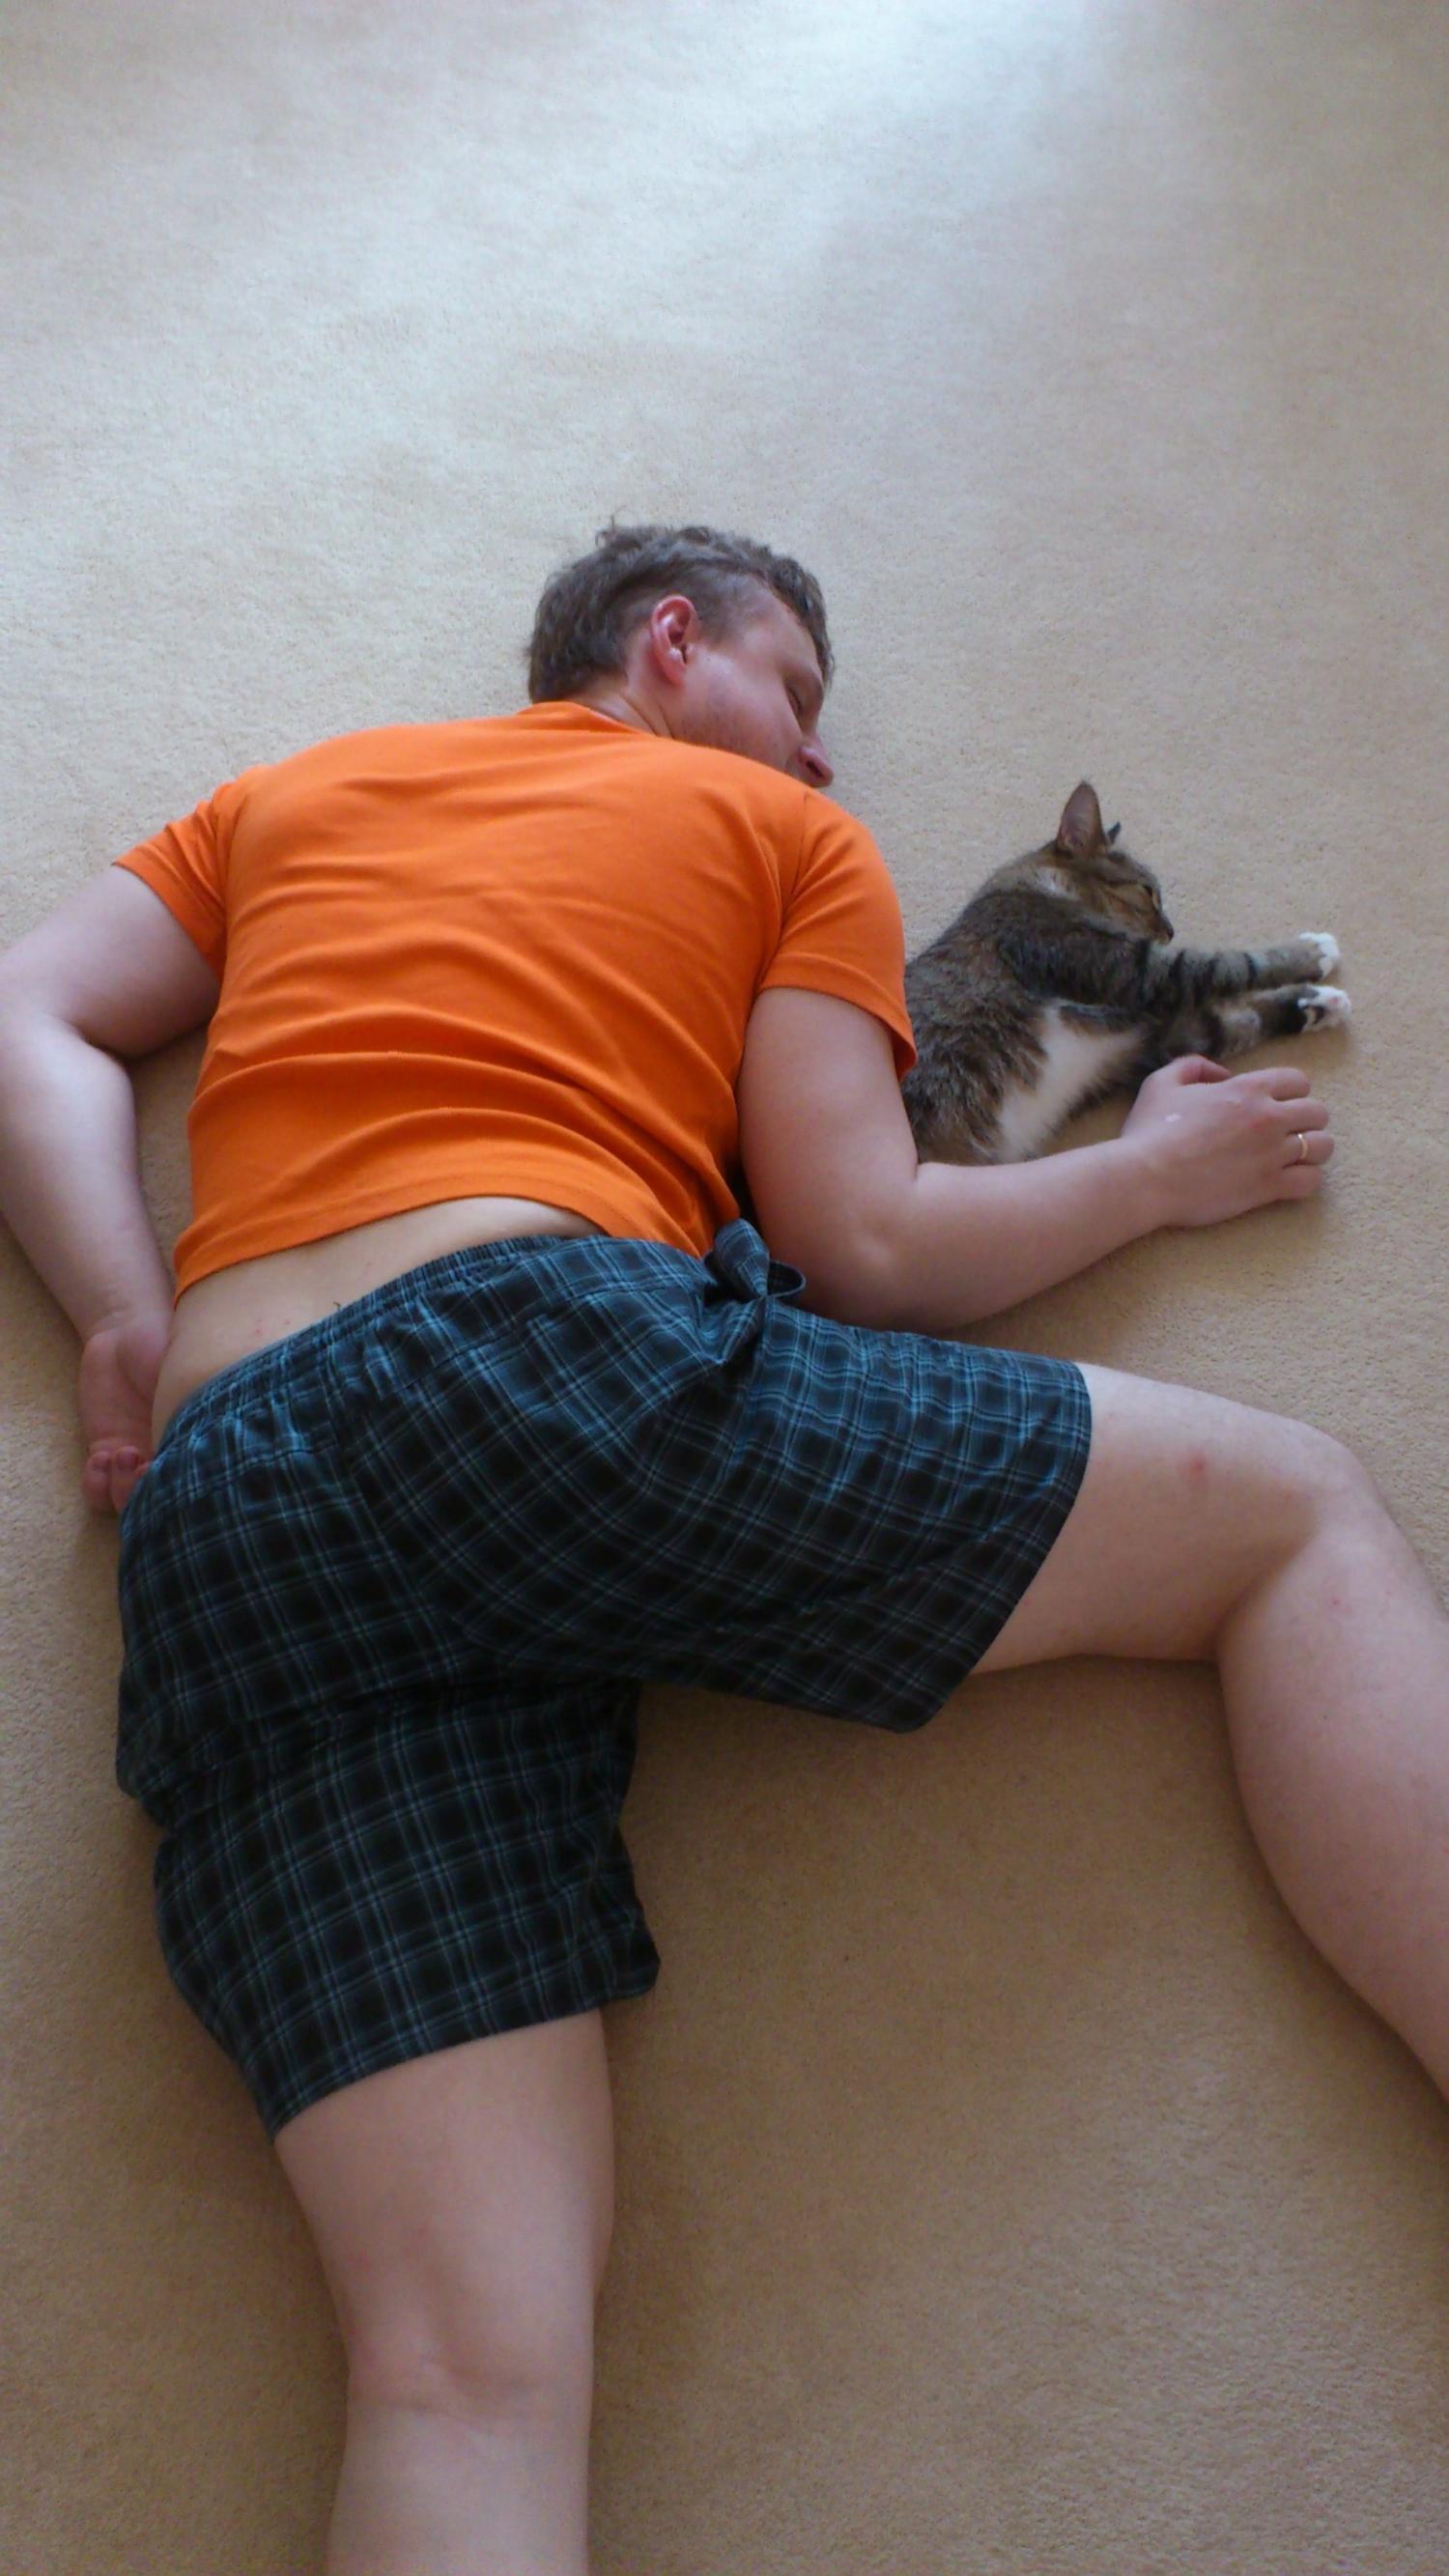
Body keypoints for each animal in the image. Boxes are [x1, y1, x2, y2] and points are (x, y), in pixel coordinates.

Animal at [900, 781, 1350, 1165]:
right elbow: (1232, 964)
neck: (1041, 885)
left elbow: (1238, 1020)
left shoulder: (1145, 1041)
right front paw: (1313, 952)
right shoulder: (1130, 968)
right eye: (1147, 892)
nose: (1170, 930)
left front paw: (1317, 1003)